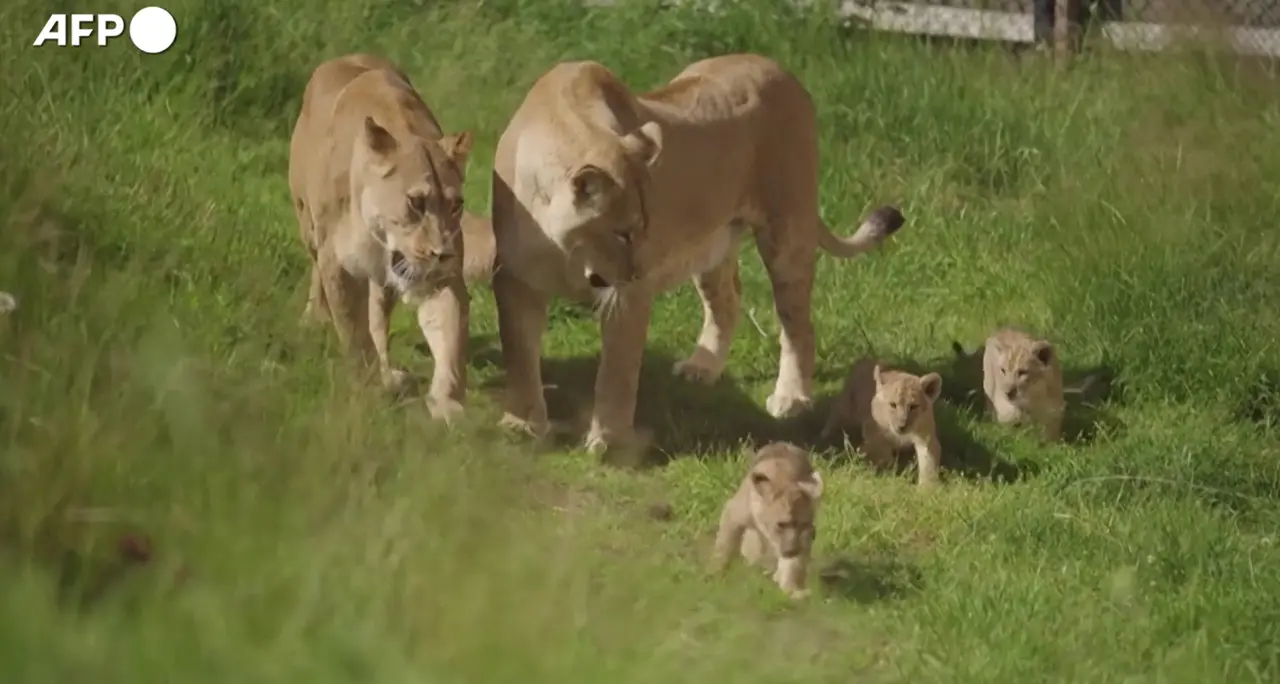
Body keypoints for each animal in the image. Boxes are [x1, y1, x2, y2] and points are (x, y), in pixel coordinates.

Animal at [287, 53, 475, 422]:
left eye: (456, 205)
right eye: (416, 203)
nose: (442, 253)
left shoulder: (440, 277)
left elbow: (450, 335)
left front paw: (447, 403)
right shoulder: (338, 265)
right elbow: (355, 336)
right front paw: (368, 394)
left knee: (378, 319)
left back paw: (391, 375)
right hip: (307, 225)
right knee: (315, 268)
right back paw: (313, 318)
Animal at [489, 53, 905, 453]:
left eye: (644, 228)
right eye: (622, 233)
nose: (639, 273)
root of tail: (783, 71)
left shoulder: (626, 298)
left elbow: (617, 374)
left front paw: (609, 442)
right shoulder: (513, 278)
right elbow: (520, 356)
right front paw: (522, 427)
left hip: (787, 233)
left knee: (798, 326)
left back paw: (791, 398)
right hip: (711, 247)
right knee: (727, 302)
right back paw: (702, 368)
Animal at [711, 442, 824, 599]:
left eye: (803, 524)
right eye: (781, 524)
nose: (791, 550)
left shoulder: (804, 536)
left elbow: (794, 565)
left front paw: (794, 591)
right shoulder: (734, 513)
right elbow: (724, 547)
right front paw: (715, 576)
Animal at [821, 358, 944, 488]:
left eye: (913, 406)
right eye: (893, 405)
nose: (902, 426)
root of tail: (866, 360)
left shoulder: (926, 438)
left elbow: (928, 462)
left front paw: (927, 488)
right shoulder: (875, 435)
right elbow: (883, 457)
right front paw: (888, 477)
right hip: (845, 408)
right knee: (834, 417)